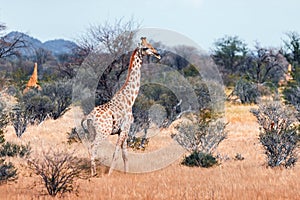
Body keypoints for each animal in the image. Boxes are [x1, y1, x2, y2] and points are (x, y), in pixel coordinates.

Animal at [81, 37, 161, 175]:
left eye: (151, 45)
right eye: (146, 48)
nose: (157, 54)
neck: (129, 99)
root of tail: (89, 117)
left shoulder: (122, 131)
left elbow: (125, 154)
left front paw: (126, 173)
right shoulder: (125, 128)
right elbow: (117, 153)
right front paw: (109, 174)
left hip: (91, 132)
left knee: (89, 147)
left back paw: (93, 171)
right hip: (103, 132)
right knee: (93, 147)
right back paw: (94, 173)